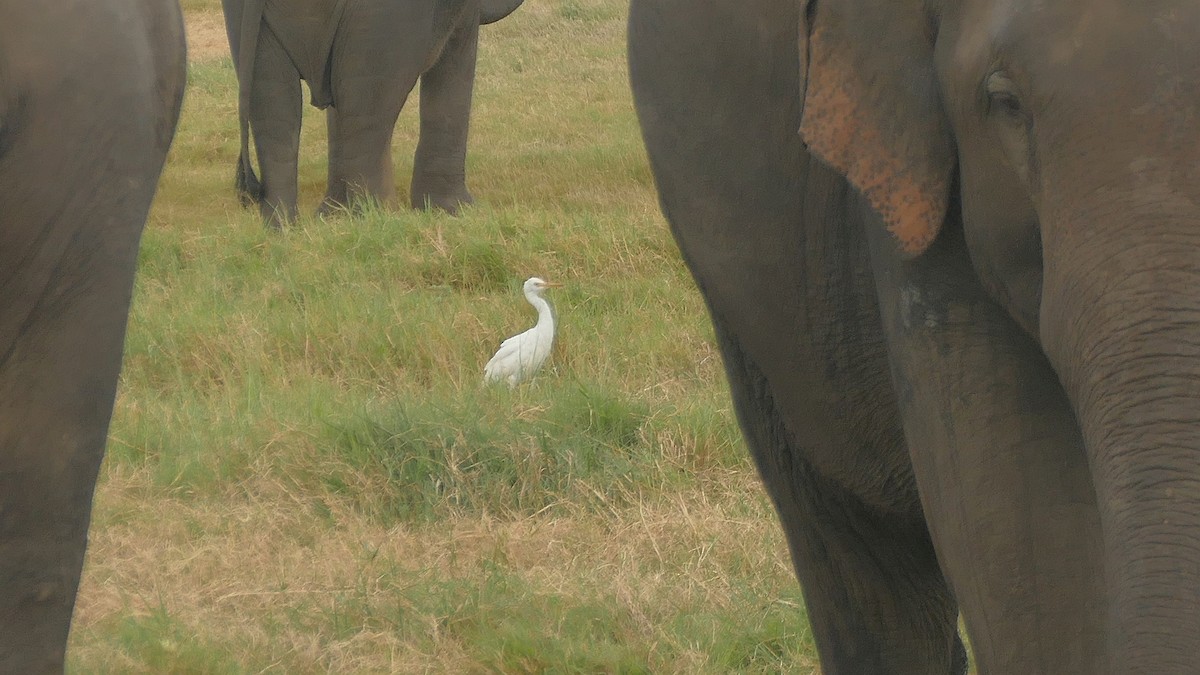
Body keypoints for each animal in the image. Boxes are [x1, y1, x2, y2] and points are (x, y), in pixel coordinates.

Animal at [225, 0, 525, 225]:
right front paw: (460, 211)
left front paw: (332, 217)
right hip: (383, 15)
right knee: (368, 99)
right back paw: (378, 219)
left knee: (273, 105)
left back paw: (282, 228)